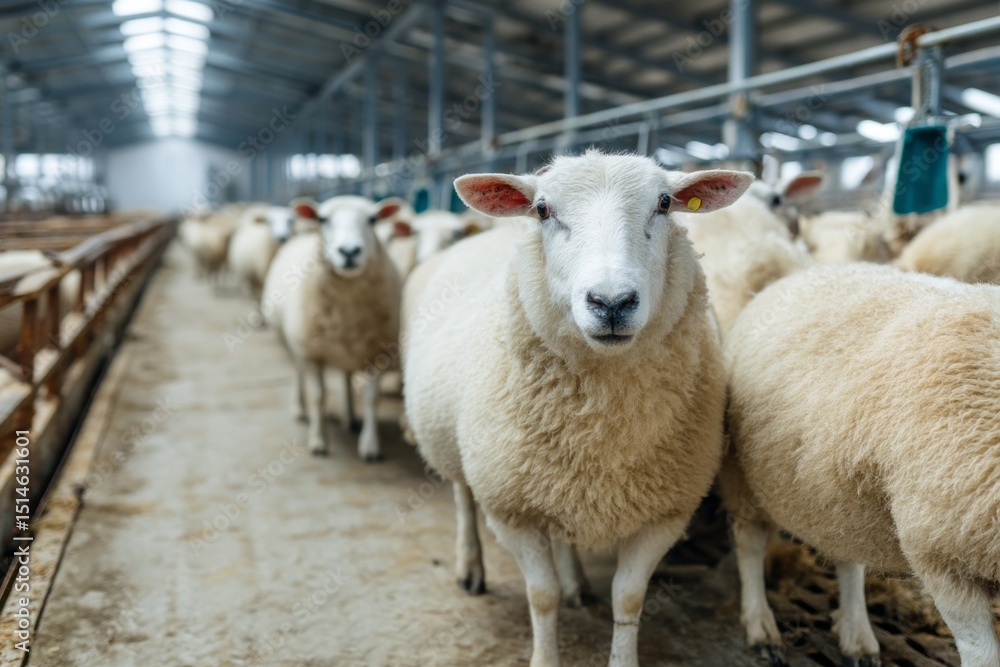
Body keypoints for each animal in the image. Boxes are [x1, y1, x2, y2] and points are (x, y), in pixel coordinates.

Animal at [262, 195, 402, 460]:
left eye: (372, 219)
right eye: (323, 219)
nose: (348, 251)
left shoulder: (378, 353)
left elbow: (371, 399)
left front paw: (370, 445)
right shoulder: (312, 354)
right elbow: (319, 397)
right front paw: (318, 441)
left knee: (346, 379)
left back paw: (350, 418)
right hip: (291, 340)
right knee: (298, 372)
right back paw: (299, 407)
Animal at [402, 151, 754, 667]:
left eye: (664, 204)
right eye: (543, 210)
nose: (611, 303)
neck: (597, 429)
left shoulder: (665, 512)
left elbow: (628, 598)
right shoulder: (511, 509)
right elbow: (540, 596)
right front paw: (545, 654)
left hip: (558, 484)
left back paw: (576, 583)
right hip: (458, 444)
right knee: (463, 495)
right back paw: (470, 566)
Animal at [721, 262, 1000, 667]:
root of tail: (799, 274)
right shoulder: (941, 552)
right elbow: (982, 652)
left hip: (840, 499)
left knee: (848, 560)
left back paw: (856, 633)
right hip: (743, 476)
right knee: (750, 546)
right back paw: (761, 626)